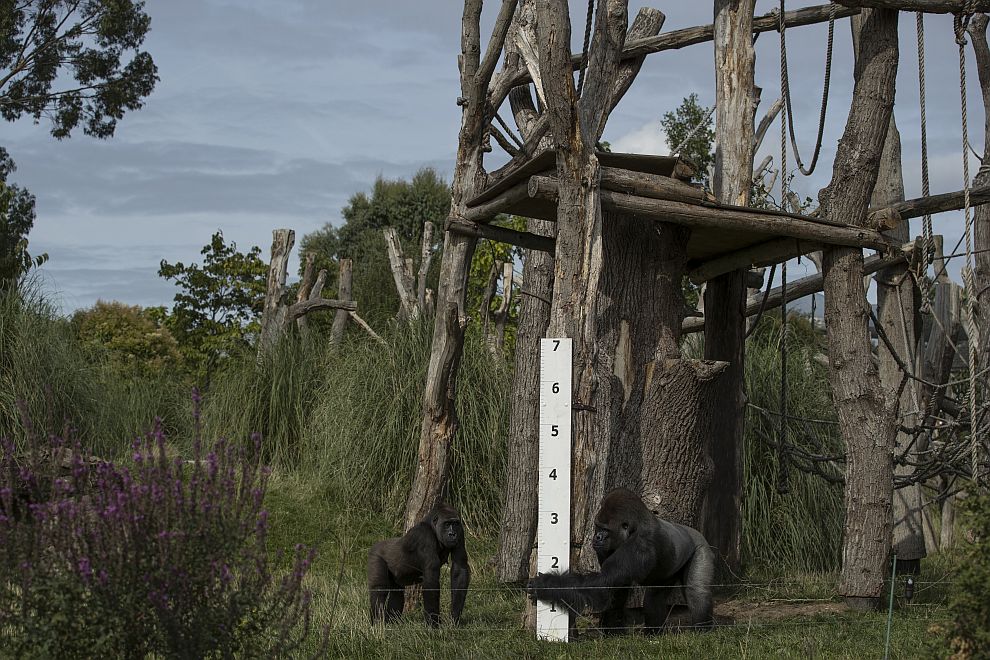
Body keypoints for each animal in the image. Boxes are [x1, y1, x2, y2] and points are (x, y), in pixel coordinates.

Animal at [528, 490, 712, 636]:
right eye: (597, 526)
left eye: (605, 530)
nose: (597, 537)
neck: (637, 525)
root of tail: (694, 532)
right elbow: (615, 588)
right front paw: (613, 629)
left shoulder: (640, 545)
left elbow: (602, 584)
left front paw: (546, 584)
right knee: (654, 597)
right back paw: (654, 633)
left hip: (701, 546)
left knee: (697, 593)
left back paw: (703, 630)